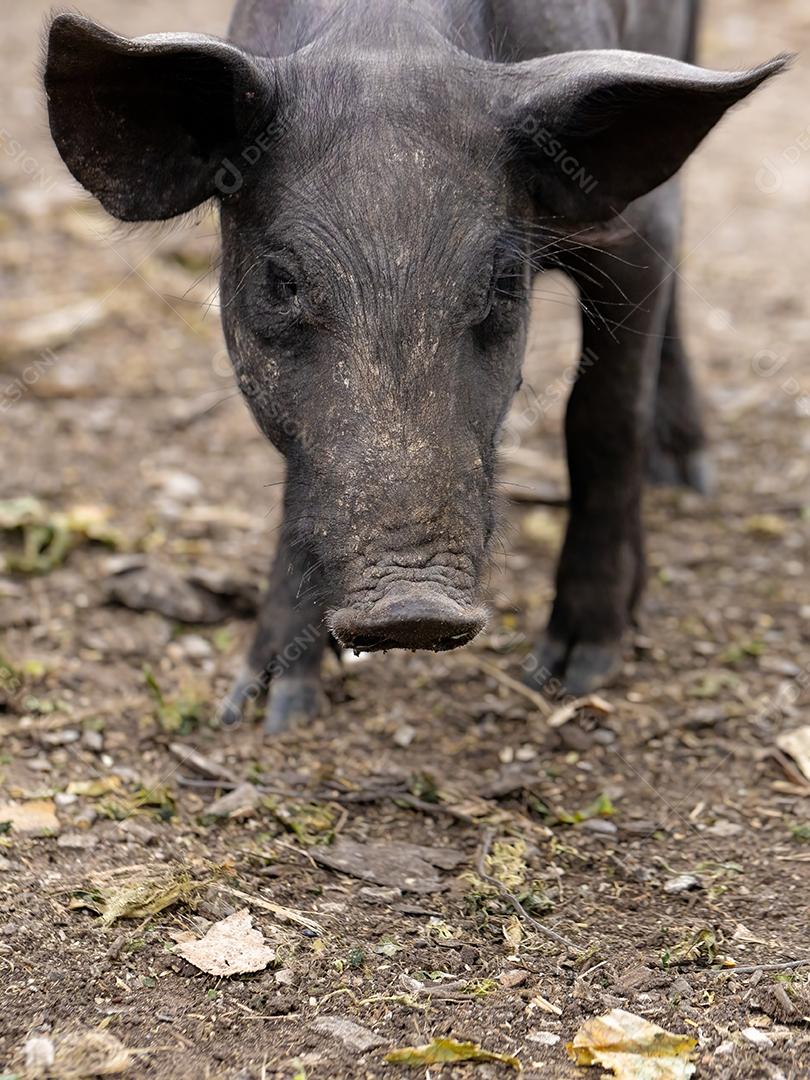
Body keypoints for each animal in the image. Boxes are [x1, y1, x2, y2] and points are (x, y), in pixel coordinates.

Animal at [42, 0, 786, 730]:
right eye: (283, 281)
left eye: (503, 282)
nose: (415, 611)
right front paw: (262, 709)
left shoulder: (631, 234)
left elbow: (602, 417)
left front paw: (574, 671)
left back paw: (686, 478)